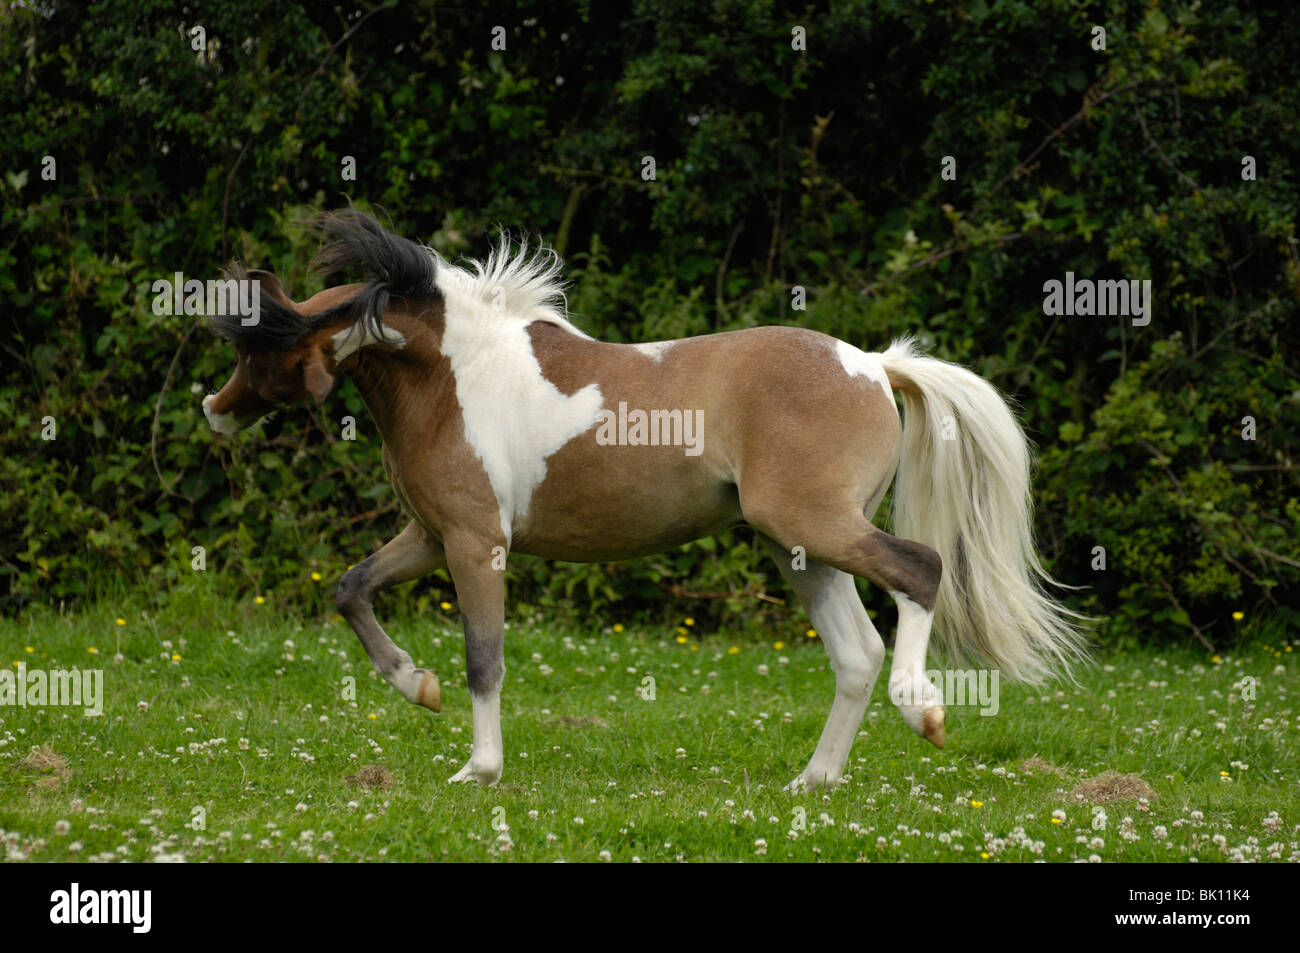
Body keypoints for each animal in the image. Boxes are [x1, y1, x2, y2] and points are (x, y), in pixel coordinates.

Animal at [202, 209, 1086, 791]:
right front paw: (416, 686)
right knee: (856, 652)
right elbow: (352, 589)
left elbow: (484, 657)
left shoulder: (476, 542)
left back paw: (923, 711)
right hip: (797, 548)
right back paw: (812, 780)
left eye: (258, 345)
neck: (454, 374)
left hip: (816, 525)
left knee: (919, 571)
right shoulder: (431, 533)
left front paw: (478, 767)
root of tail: (873, 364)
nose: (213, 408)